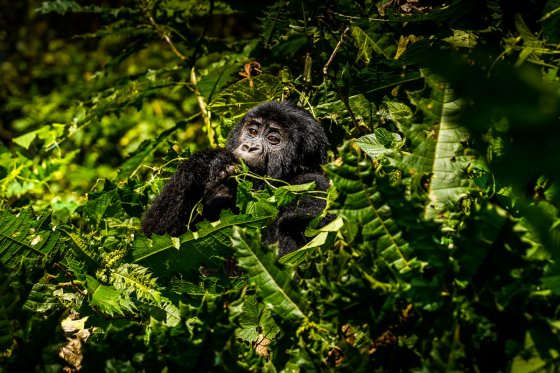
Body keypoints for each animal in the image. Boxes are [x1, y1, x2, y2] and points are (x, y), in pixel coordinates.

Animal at [142, 100, 330, 256]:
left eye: (273, 139)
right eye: (252, 131)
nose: (249, 146)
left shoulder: (314, 184)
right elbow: (154, 235)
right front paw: (210, 161)